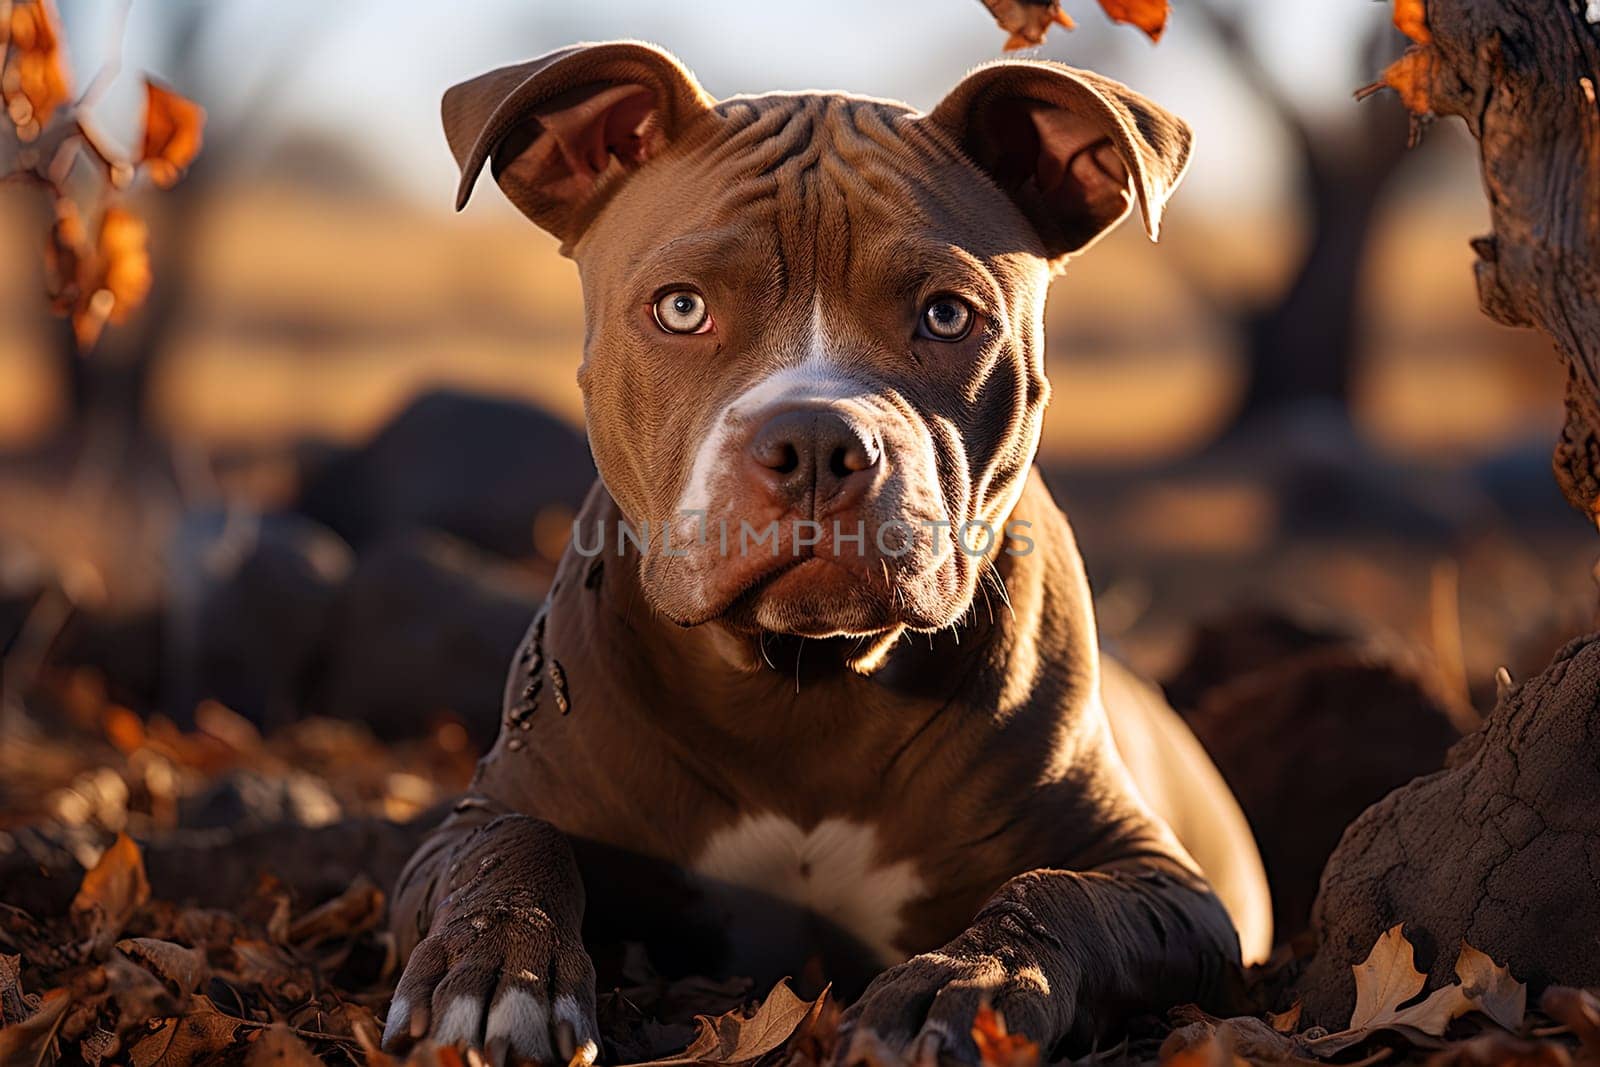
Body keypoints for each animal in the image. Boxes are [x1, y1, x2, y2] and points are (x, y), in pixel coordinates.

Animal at [380, 43, 1267, 1067]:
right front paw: (496, 976)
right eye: (680, 307)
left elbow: (1059, 893)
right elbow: (513, 843)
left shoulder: (1166, 881)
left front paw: (970, 984)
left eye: (947, 314)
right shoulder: (472, 822)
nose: (813, 443)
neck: (802, 681)